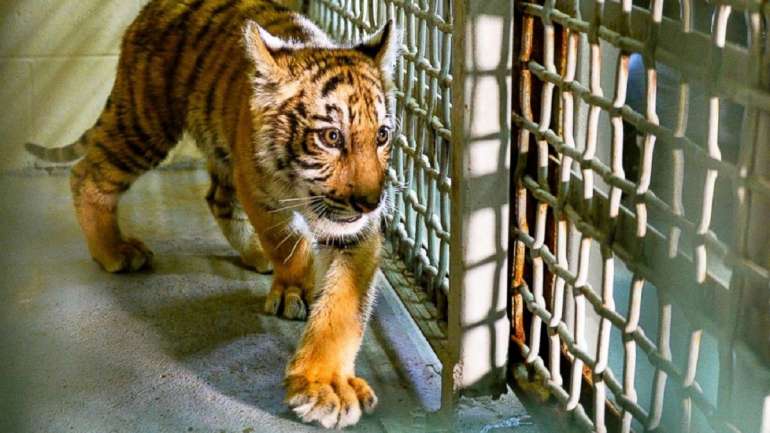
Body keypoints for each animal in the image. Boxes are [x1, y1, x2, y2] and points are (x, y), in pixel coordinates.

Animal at [24, 0, 400, 429]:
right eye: (331, 137)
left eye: (382, 135)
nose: (372, 202)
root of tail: (150, 9)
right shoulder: (258, 188)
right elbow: (286, 242)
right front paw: (293, 290)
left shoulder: (355, 231)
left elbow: (343, 307)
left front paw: (324, 386)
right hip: (145, 122)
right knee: (87, 173)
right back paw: (114, 251)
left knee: (216, 199)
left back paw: (252, 254)